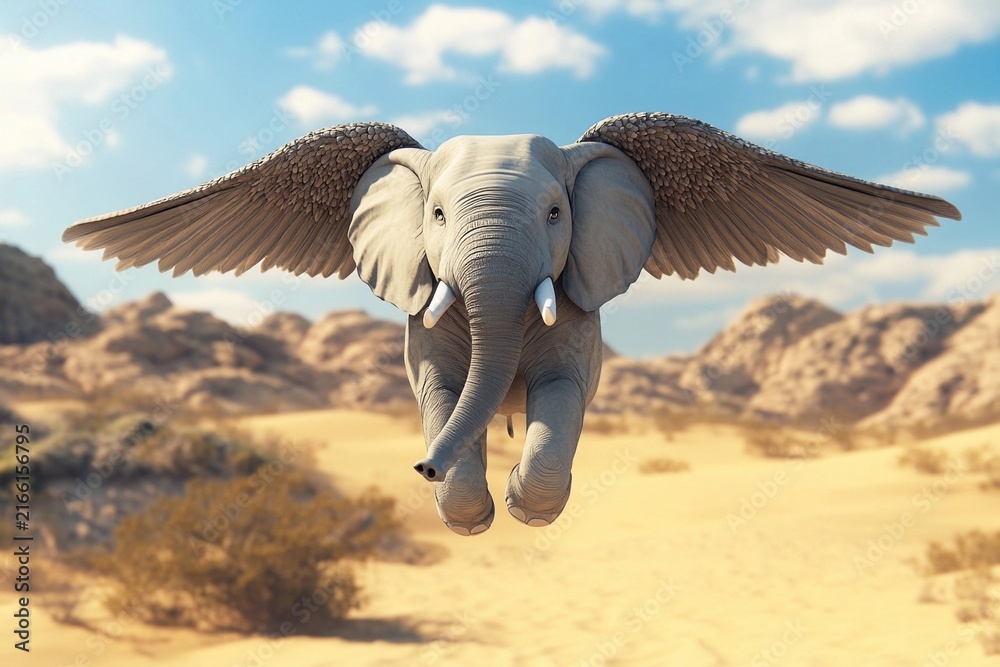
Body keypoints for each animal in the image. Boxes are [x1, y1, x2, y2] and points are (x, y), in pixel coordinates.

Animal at [63, 112, 960, 536]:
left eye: (558, 213)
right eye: (433, 215)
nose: (419, 466)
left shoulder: (580, 313)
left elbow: (564, 391)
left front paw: (529, 508)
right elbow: (437, 383)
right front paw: (467, 513)